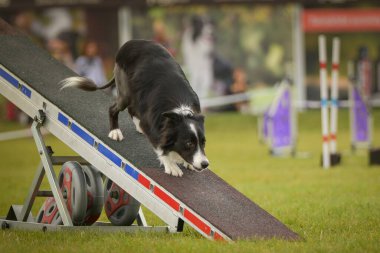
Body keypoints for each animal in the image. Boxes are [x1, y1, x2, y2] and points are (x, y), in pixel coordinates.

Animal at [59, 40, 209, 178]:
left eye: (203, 142)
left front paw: (187, 163)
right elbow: (159, 145)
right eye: (189, 143)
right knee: (114, 108)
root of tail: (129, 43)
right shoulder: (151, 124)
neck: (180, 112)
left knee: (132, 110)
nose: (205, 164)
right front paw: (171, 166)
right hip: (125, 91)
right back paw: (115, 132)